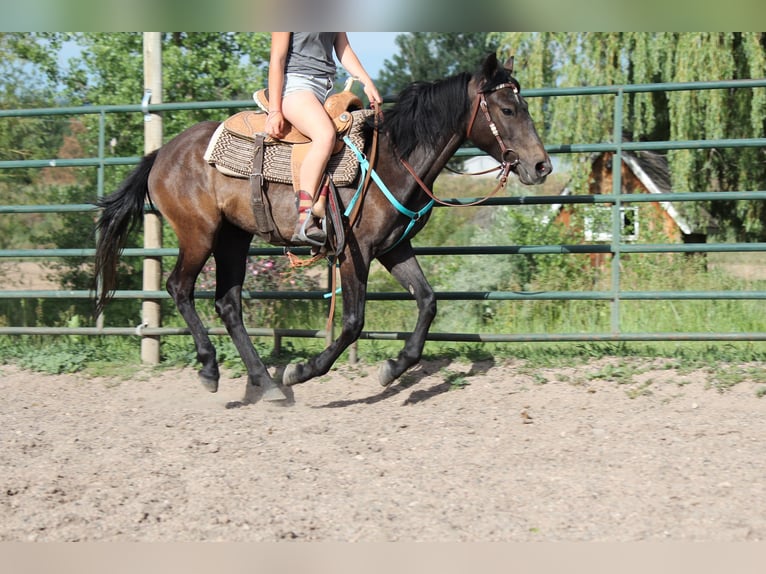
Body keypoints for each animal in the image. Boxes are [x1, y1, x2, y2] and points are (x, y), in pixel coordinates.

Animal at [94, 52, 552, 403]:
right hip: (198, 234)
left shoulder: (393, 249)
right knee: (180, 288)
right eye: (508, 109)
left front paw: (394, 368)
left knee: (228, 303)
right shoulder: (353, 251)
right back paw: (212, 369)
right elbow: (352, 321)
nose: (541, 166)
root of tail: (162, 153)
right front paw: (303, 370)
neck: (394, 158)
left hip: (233, 237)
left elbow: (427, 301)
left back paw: (264, 383)